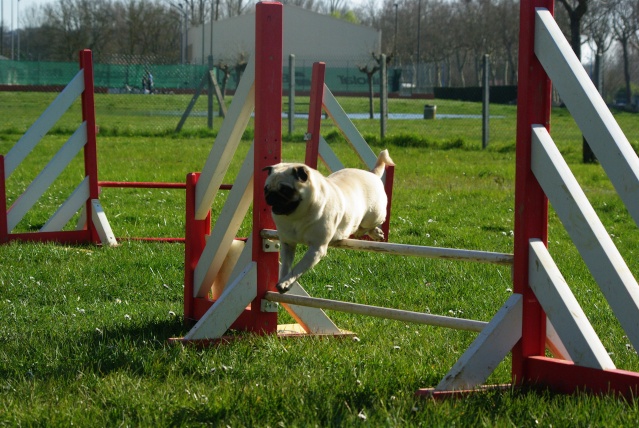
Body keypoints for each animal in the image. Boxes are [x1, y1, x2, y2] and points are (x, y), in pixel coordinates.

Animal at [262, 149, 392, 292]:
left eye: (286, 190)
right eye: (266, 189)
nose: (271, 196)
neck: (297, 216)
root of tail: (372, 174)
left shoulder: (316, 249)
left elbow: (298, 268)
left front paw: (286, 282)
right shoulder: (287, 244)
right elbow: (286, 266)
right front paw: (283, 279)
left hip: (374, 214)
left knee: (371, 223)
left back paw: (370, 232)